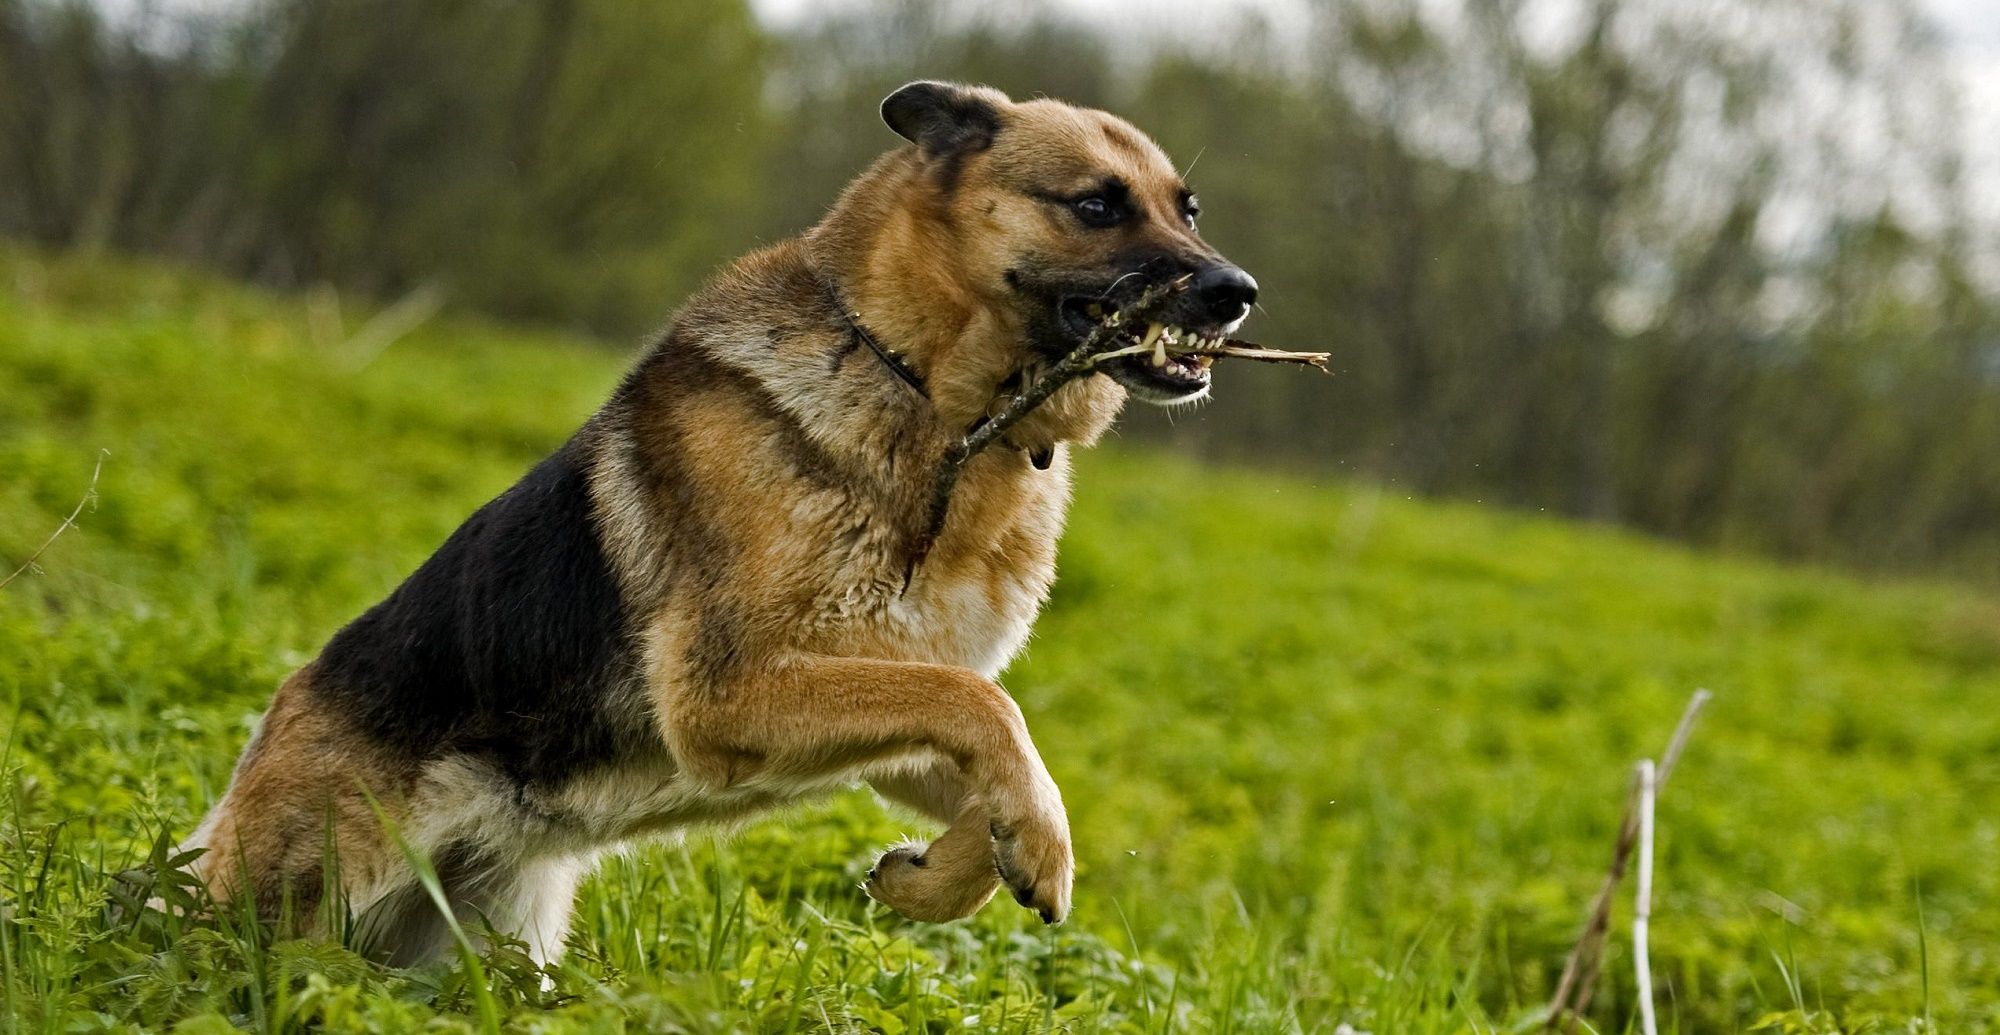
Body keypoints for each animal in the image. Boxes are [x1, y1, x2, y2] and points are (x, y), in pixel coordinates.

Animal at [184, 83, 1248, 975]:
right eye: (1097, 205)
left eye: (1188, 209)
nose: (1238, 292)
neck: (930, 404)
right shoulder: (732, 692)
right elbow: (989, 710)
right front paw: (1025, 845)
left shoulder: (880, 695)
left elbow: (992, 758)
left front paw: (956, 868)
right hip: (289, 904)